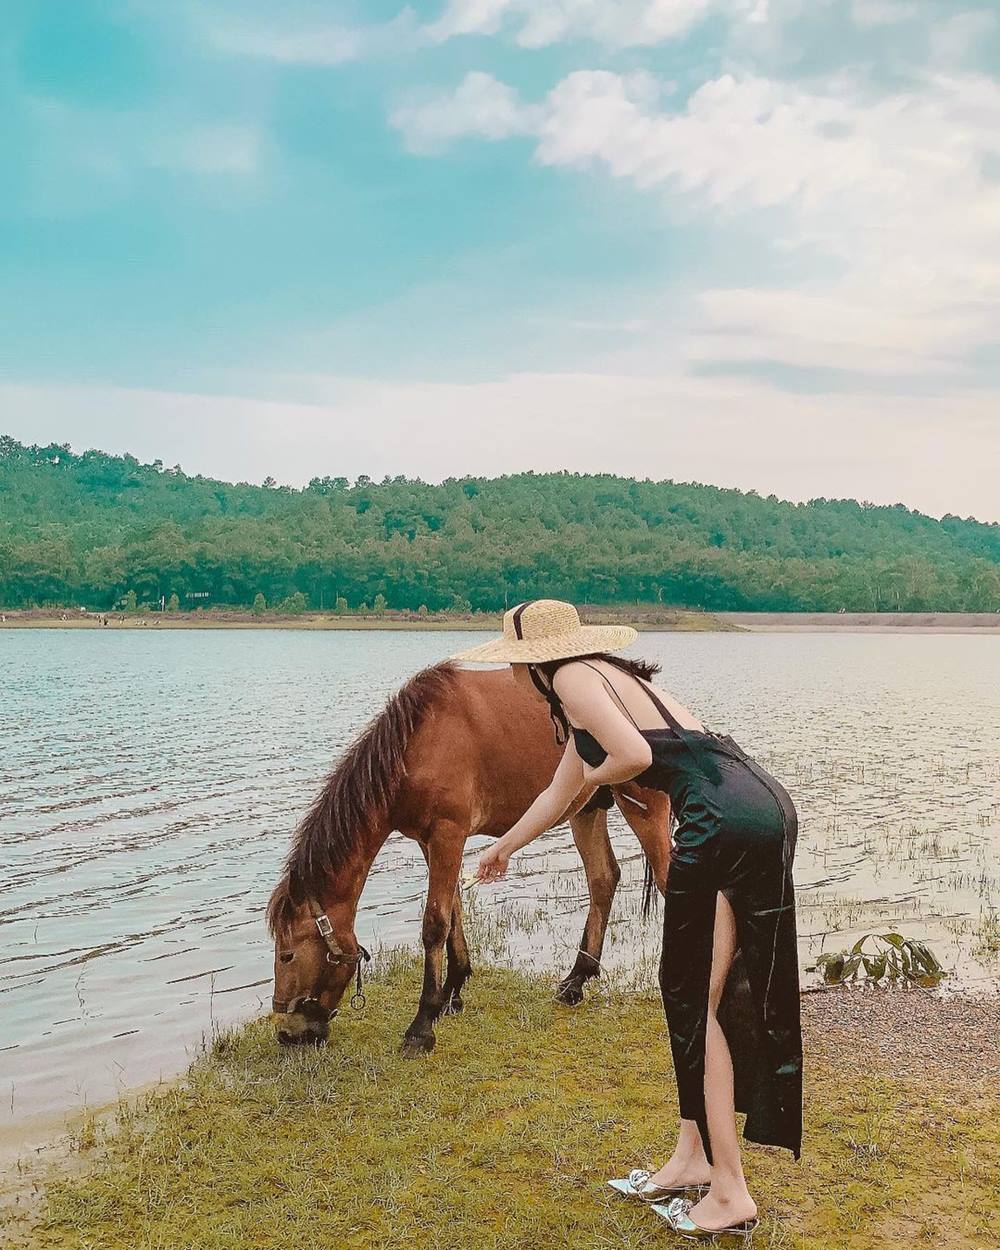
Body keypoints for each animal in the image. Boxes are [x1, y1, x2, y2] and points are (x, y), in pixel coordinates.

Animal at [270, 665, 670, 1055]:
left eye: (287, 955)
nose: (288, 1034)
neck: (416, 746)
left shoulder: (448, 833)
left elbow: (434, 924)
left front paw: (421, 1026)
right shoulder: (431, 841)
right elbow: (453, 911)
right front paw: (452, 992)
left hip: (645, 809)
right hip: (586, 809)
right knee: (603, 878)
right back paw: (575, 981)